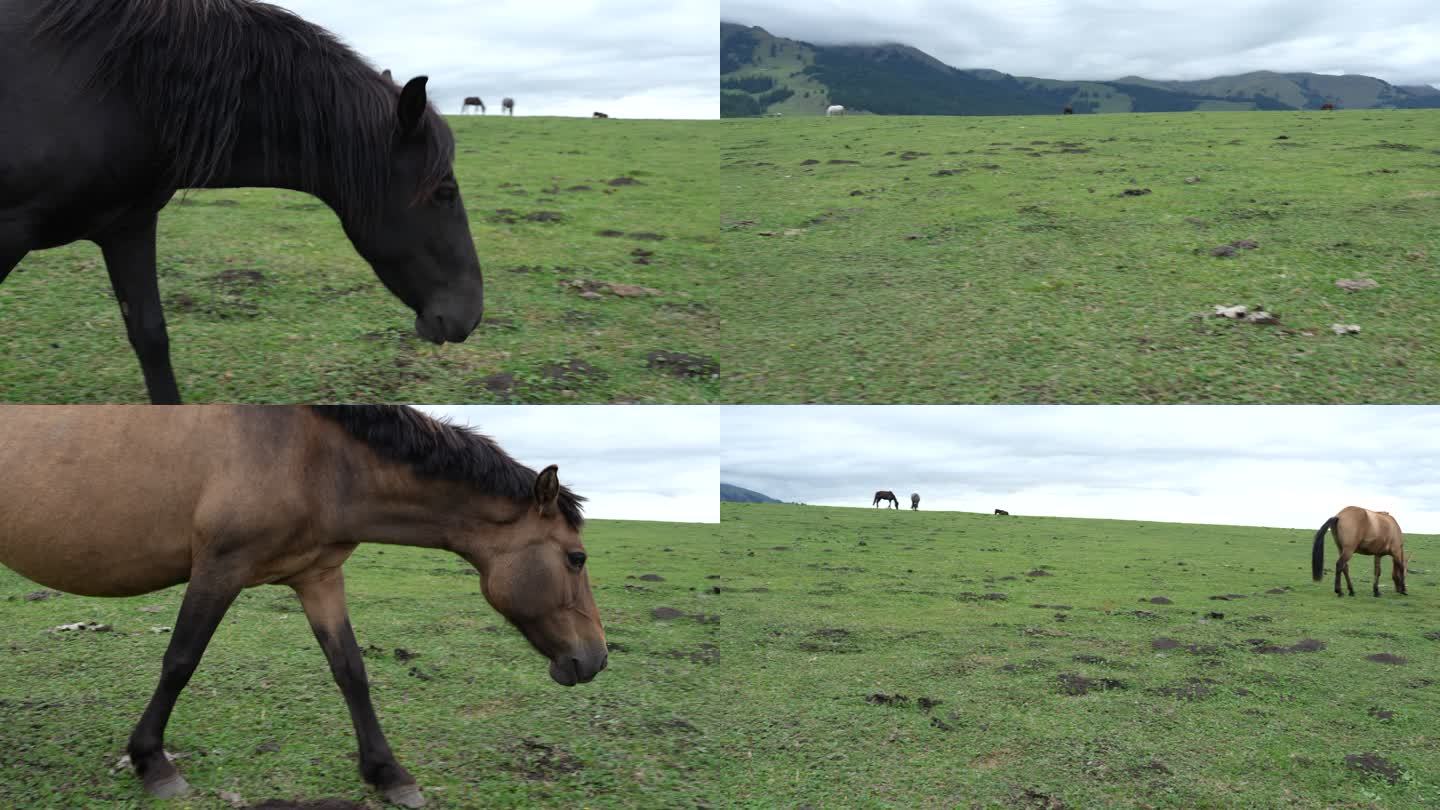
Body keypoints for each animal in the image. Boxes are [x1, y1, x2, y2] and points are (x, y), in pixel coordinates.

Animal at [0, 403, 601, 801]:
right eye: (576, 558)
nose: (595, 659)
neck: (314, 457)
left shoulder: (319, 577)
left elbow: (351, 670)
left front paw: (388, 773)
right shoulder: (219, 567)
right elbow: (180, 661)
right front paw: (152, 762)